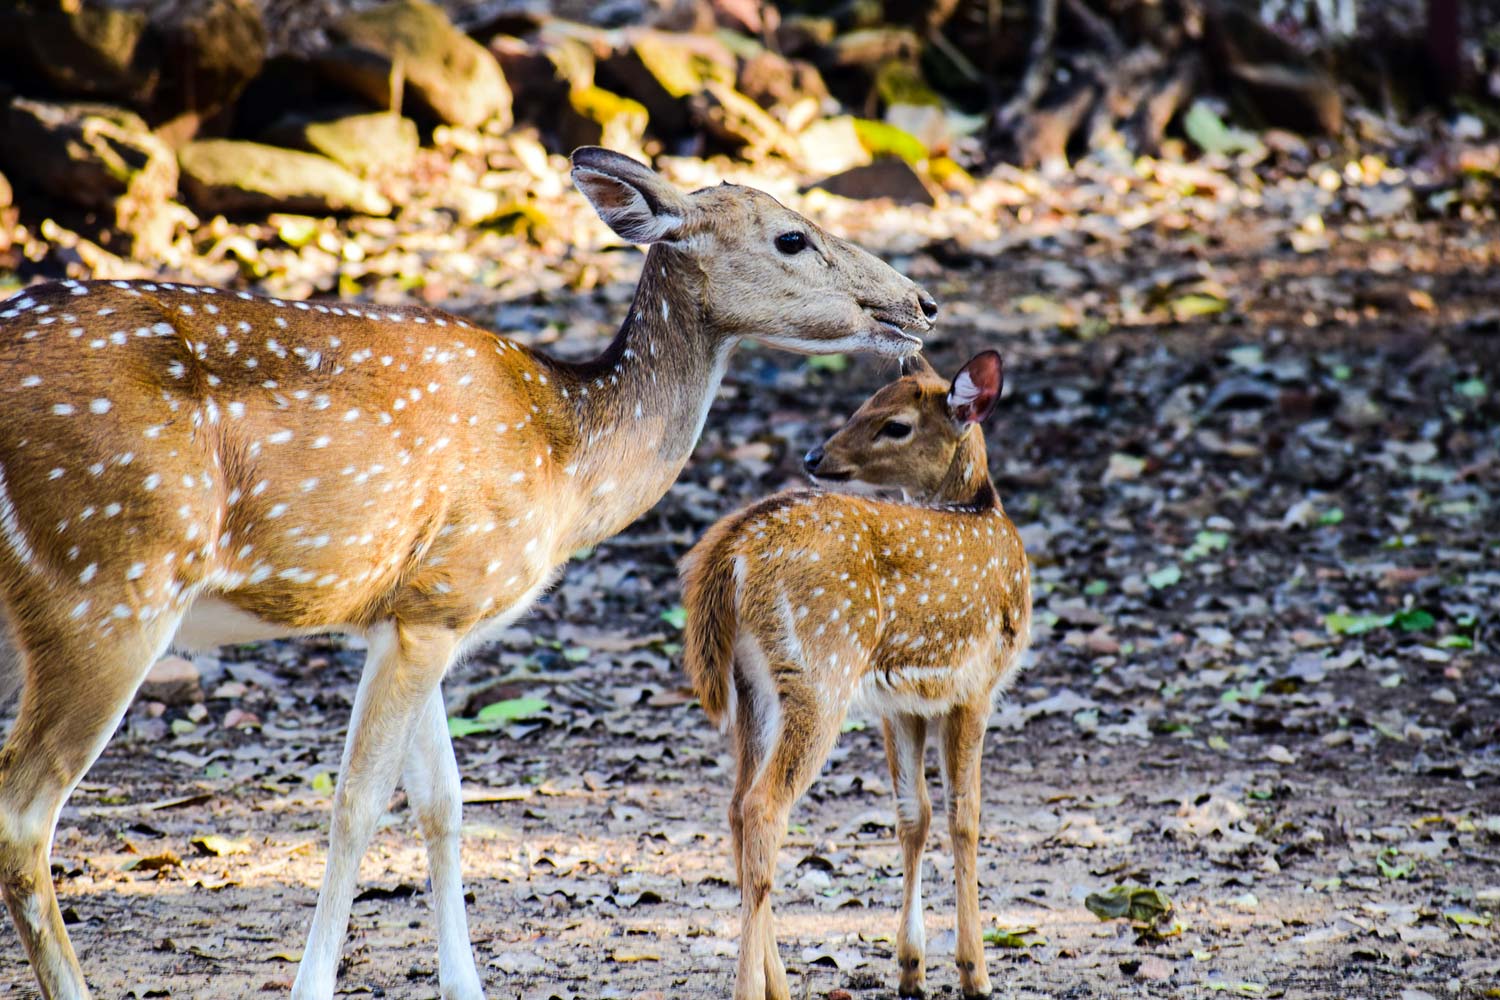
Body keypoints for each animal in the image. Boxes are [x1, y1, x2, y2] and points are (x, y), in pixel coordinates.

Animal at [0, 144, 936, 995]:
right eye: (790, 236)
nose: (920, 303)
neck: (570, 462)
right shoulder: (445, 594)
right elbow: (356, 806)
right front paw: (315, 985)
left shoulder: (417, 610)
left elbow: (443, 805)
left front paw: (464, 983)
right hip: (104, 576)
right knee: (24, 812)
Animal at [684, 352, 1026, 1000]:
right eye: (863, 406)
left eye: (893, 423)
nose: (815, 456)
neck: (983, 510)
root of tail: (729, 553)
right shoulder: (978, 683)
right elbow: (964, 816)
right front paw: (975, 972)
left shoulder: (904, 702)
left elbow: (914, 815)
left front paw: (911, 968)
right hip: (821, 669)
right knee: (763, 808)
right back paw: (753, 987)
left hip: (753, 685)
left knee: (737, 806)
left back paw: (779, 984)